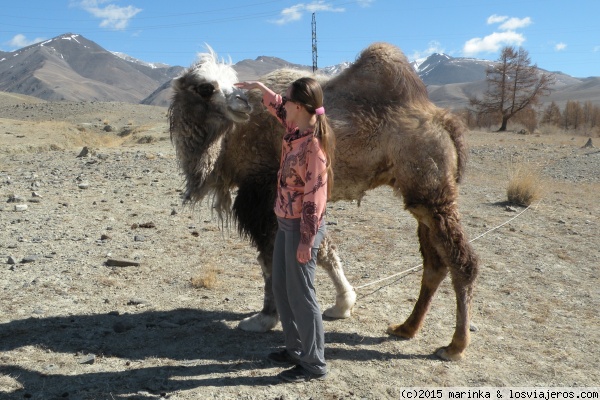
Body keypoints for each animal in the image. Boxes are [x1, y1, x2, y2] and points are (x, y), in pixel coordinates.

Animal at [169, 42, 478, 360]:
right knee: (434, 263)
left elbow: (269, 258)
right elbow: (323, 250)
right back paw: (406, 327)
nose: (243, 103)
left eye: (228, 81)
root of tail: (445, 120)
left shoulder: (261, 193)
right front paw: (343, 304)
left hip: (433, 189)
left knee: (462, 261)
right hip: (421, 197)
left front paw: (264, 318)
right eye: (206, 87)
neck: (230, 139)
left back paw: (455, 345)